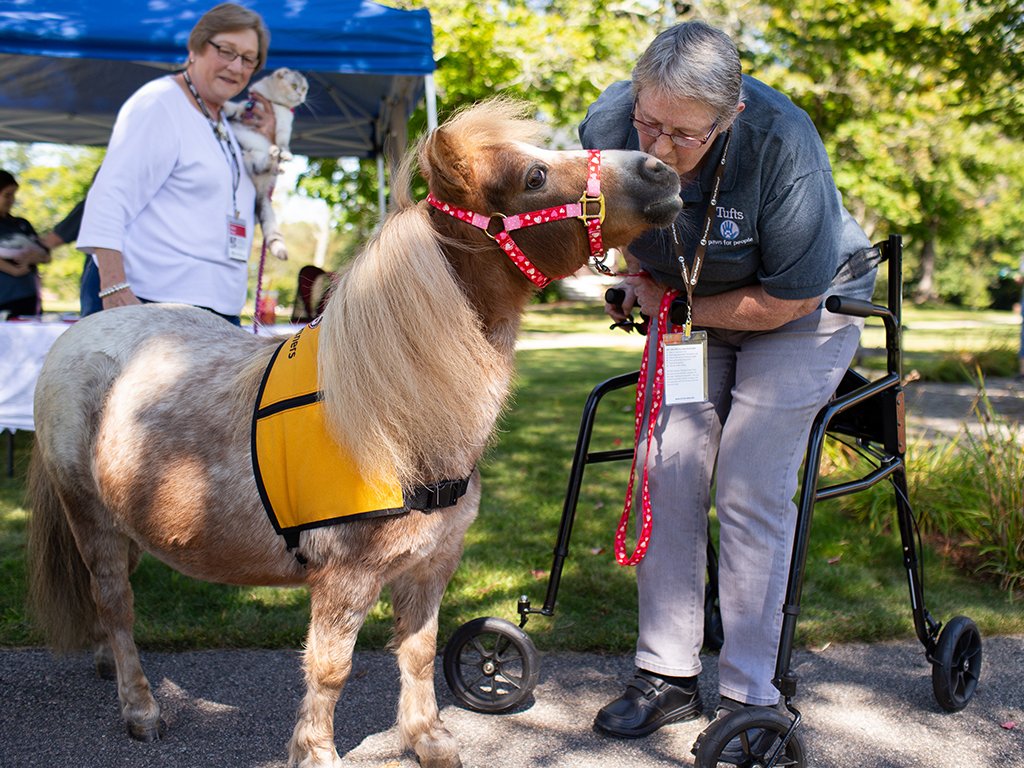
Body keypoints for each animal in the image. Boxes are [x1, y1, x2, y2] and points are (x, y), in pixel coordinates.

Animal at [25, 102, 679, 768]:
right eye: (535, 176)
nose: (660, 170)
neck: (395, 416)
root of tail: (76, 337)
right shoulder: (345, 579)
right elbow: (330, 671)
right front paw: (316, 751)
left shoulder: (432, 564)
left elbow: (418, 652)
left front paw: (427, 738)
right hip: (91, 519)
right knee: (116, 603)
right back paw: (140, 706)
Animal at [228, 69, 311, 262]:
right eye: (294, 86)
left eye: (304, 88)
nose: (301, 95)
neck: (274, 103)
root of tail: (261, 188)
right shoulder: (247, 105)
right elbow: (234, 107)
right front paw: (225, 108)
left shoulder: (284, 125)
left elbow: (283, 142)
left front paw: (285, 153)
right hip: (249, 156)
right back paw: (274, 159)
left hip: (253, 161)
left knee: (263, 165)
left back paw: (276, 161)